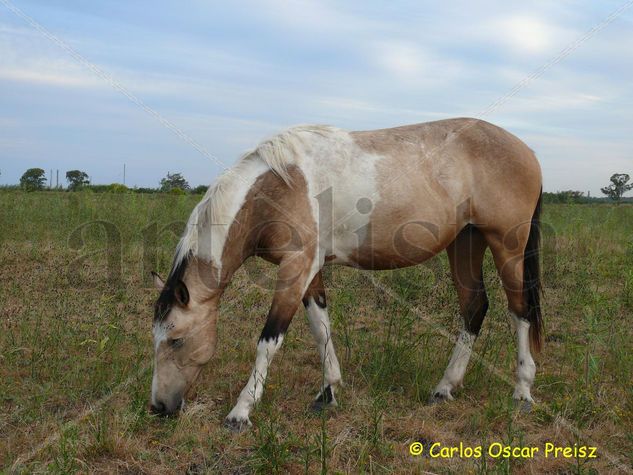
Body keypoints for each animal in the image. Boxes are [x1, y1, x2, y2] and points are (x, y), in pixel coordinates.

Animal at [149, 118, 544, 432]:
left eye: (176, 340)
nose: (158, 408)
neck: (279, 187)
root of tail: (526, 151)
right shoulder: (310, 270)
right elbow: (320, 328)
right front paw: (328, 392)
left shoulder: (296, 268)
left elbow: (270, 339)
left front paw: (241, 412)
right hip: (465, 242)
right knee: (475, 307)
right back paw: (445, 387)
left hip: (507, 246)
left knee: (520, 309)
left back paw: (523, 391)